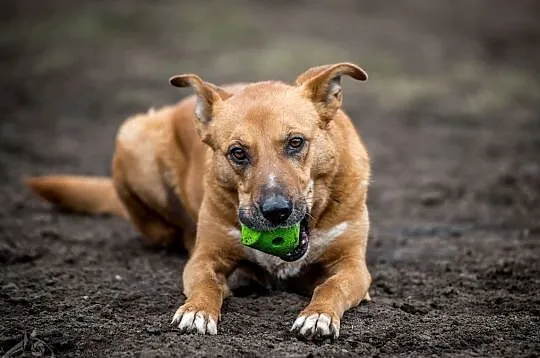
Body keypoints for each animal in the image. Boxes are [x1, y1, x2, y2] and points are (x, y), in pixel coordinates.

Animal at [25, 62, 372, 342]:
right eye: (237, 152)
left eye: (296, 142)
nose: (276, 212)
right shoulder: (204, 257)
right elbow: (205, 283)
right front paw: (197, 311)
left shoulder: (353, 266)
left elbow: (332, 286)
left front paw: (318, 315)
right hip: (133, 137)